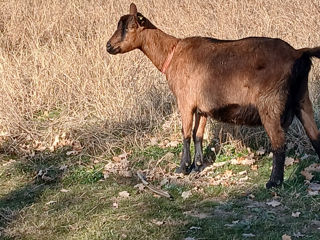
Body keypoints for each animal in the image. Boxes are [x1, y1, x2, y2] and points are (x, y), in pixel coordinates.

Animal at [107, 2, 320, 188]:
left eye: (131, 27)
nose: (109, 46)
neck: (172, 53)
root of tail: (297, 53)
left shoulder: (185, 101)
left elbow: (185, 133)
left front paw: (182, 168)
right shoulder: (202, 107)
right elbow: (198, 134)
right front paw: (197, 166)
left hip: (270, 104)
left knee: (279, 142)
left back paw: (274, 182)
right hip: (302, 98)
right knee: (315, 135)